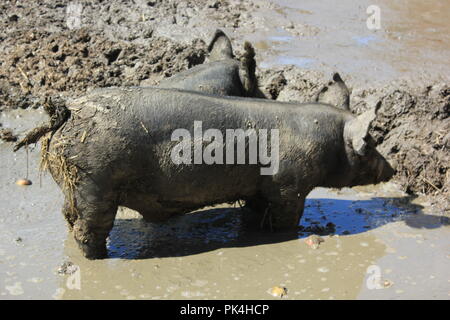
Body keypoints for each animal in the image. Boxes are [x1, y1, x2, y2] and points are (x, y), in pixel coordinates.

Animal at [17, 86, 396, 258]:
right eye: (371, 142)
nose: (391, 169)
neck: (328, 142)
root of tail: (64, 112)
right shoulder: (289, 187)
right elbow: (287, 217)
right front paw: (289, 235)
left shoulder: (260, 189)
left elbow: (254, 213)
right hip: (95, 181)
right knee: (88, 228)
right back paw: (100, 257)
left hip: (74, 186)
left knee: (68, 215)